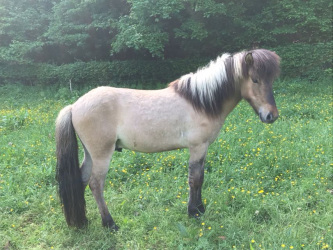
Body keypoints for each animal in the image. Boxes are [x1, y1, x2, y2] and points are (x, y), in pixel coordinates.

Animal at [55, 48, 278, 230]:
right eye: (255, 80)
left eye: (271, 80)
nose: (271, 116)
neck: (200, 102)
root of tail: (74, 106)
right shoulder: (197, 147)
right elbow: (195, 179)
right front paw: (194, 212)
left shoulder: (203, 148)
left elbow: (200, 177)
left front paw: (200, 208)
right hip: (102, 155)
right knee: (95, 184)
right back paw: (110, 224)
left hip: (90, 154)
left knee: (82, 179)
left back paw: (83, 221)